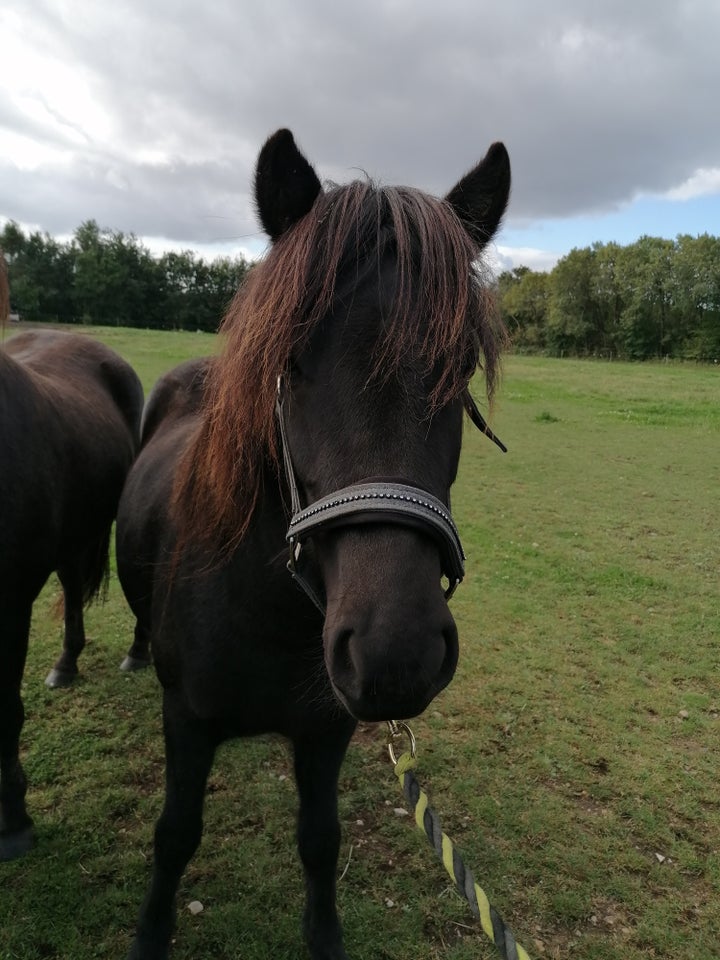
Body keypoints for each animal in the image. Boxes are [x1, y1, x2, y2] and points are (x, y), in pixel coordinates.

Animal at [118, 129, 510, 960]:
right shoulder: (186, 723)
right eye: (290, 363)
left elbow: (320, 841)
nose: (397, 653)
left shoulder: (327, 730)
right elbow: (175, 836)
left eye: (458, 368)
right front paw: (150, 933)